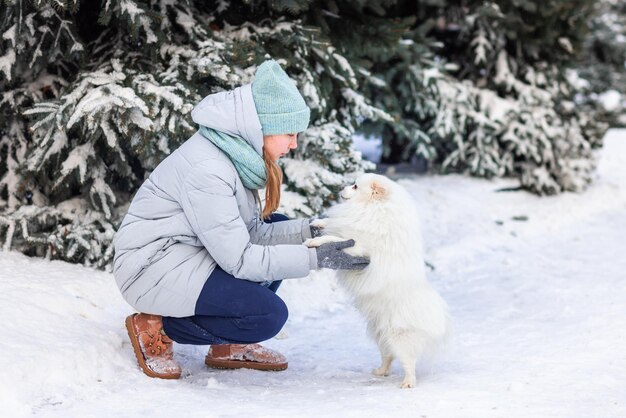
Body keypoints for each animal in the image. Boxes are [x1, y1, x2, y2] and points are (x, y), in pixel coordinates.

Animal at [304, 173, 446, 388]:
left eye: (355, 186)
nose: (340, 188)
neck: (372, 208)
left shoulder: (358, 247)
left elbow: (333, 239)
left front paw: (314, 241)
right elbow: (334, 227)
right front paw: (318, 223)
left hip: (399, 337)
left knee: (408, 361)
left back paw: (408, 382)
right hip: (380, 335)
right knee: (388, 356)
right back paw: (381, 371)